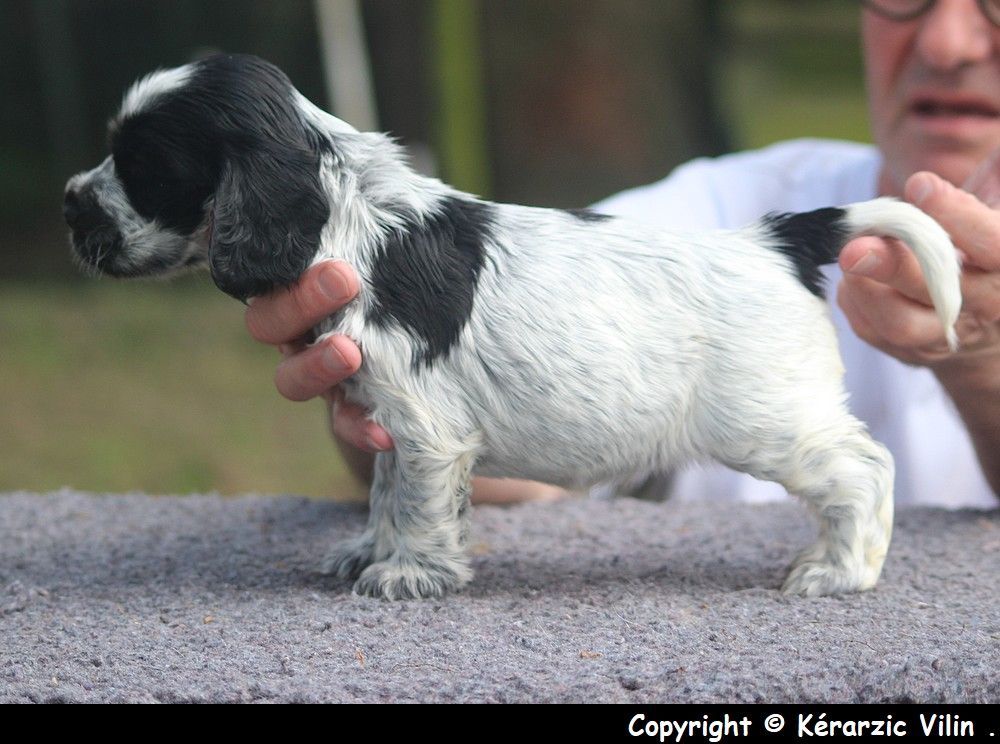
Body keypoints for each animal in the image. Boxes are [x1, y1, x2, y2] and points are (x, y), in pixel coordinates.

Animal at [64, 53, 960, 600]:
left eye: (143, 167)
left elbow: (418, 502)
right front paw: (374, 551)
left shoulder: (427, 428)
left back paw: (839, 571)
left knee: (865, 470)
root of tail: (779, 239)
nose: (71, 203)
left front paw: (408, 573)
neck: (357, 216)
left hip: (770, 421)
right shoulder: (390, 418)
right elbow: (387, 490)